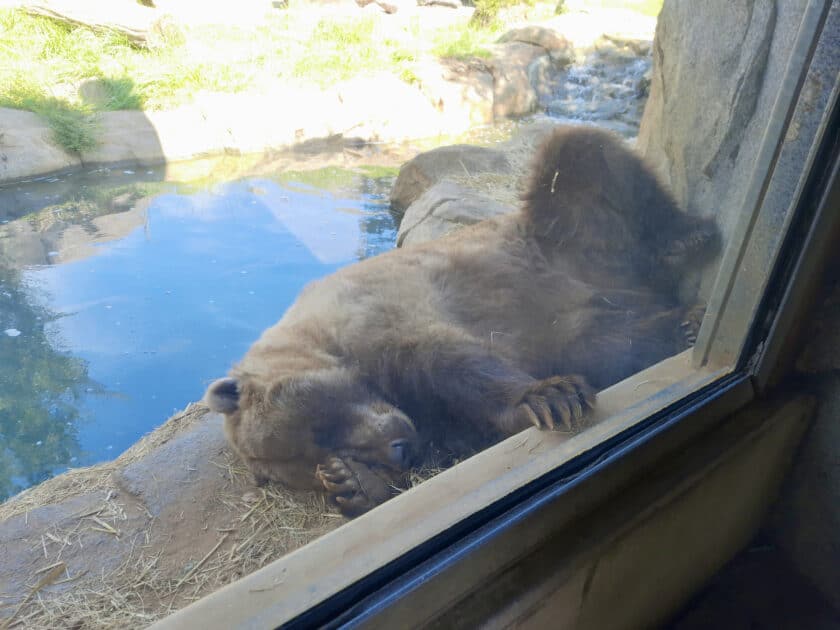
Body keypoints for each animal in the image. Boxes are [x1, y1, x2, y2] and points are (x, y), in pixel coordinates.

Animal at [204, 125, 719, 517]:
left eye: (319, 426)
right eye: (313, 457)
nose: (397, 449)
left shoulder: (382, 310)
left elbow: (451, 358)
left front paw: (549, 397)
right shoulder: (425, 412)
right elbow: (457, 430)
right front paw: (351, 484)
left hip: (570, 238)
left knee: (581, 156)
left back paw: (685, 240)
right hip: (590, 310)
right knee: (612, 338)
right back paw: (682, 324)